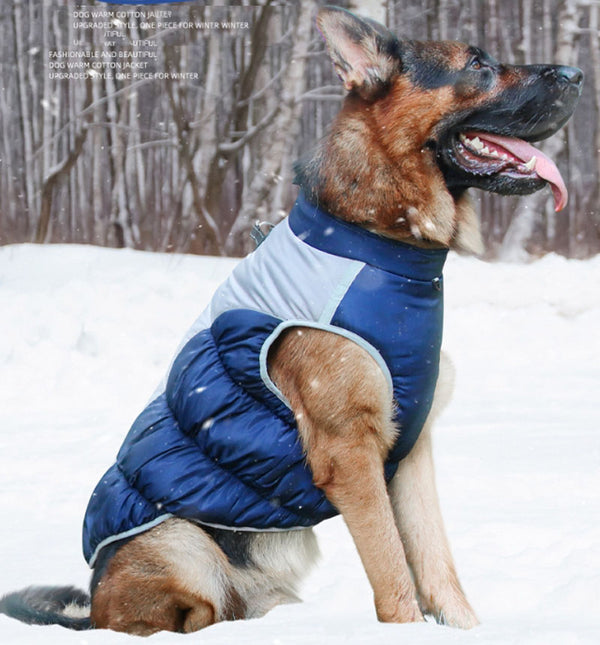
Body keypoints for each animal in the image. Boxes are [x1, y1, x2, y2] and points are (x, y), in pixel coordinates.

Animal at [0, 5, 580, 636]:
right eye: (477, 64)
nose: (577, 74)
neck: (378, 245)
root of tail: (92, 603)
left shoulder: (411, 455)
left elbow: (436, 562)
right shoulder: (350, 456)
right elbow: (394, 576)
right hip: (183, 544)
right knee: (181, 614)